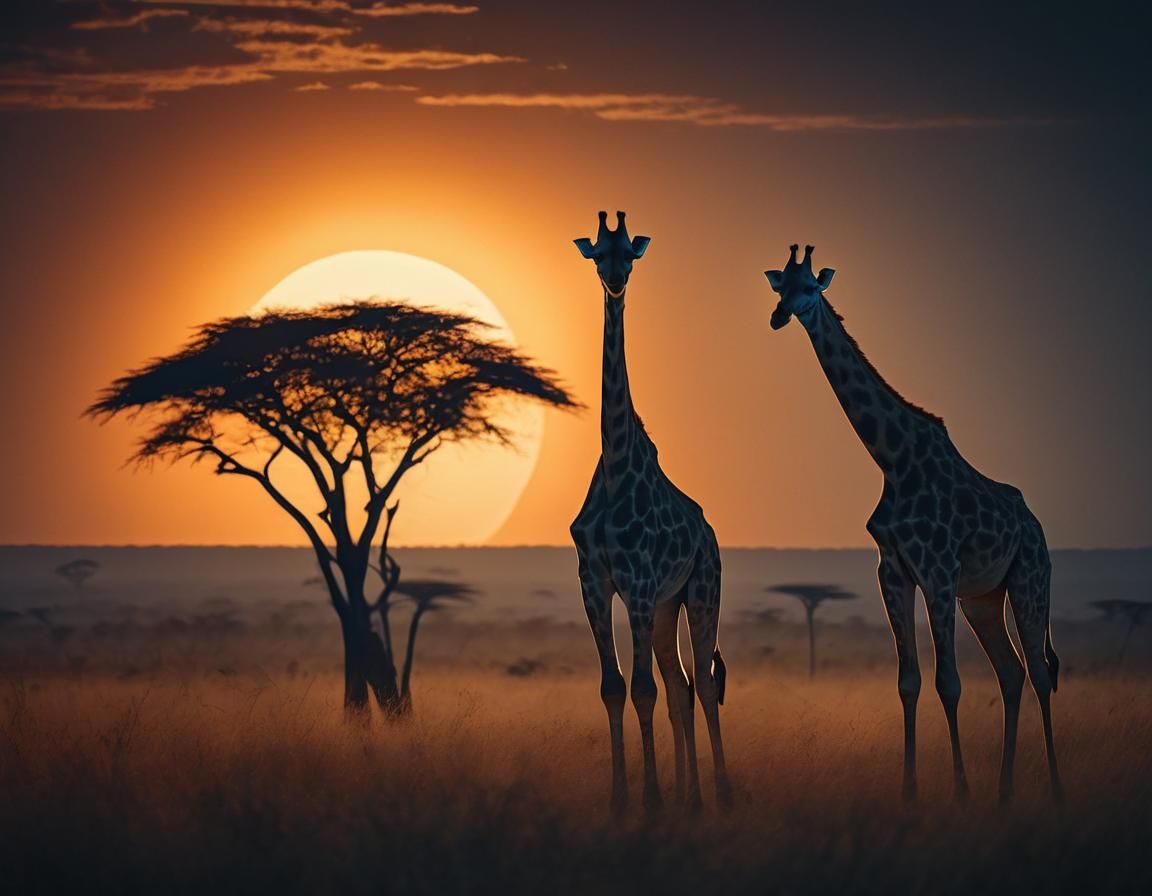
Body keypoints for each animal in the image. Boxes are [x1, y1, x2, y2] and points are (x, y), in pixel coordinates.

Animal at [570, 210, 731, 814]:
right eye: (598, 254)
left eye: (631, 256)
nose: (616, 283)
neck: (616, 464)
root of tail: (709, 532)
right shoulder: (594, 581)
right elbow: (614, 688)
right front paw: (622, 802)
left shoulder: (637, 583)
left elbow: (643, 690)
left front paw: (652, 803)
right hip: (667, 606)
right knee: (681, 685)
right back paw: (694, 799)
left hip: (702, 590)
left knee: (702, 682)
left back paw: (721, 795)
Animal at [763, 244, 1063, 805]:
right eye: (781, 287)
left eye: (811, 287)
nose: (779, 316)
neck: (892, 458)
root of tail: (1036, 529)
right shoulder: (894, 571)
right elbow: (909, 682)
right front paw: (909, 791)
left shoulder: (938, 571)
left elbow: (949, 682)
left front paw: (961, 790)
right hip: (983, 599)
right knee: (1011, 673)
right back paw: (1005, 790)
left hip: (1030, 581)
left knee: (1040, 670)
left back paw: (1055, 787)